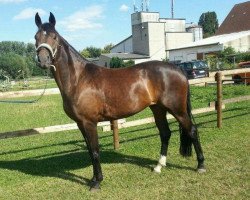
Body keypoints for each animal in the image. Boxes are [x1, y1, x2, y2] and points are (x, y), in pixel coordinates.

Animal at [33, 12, 205, 191]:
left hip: (178, 110)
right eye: (36, 37)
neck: (78, 79)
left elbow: (95, 151)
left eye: (54, 36)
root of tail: (178, 69)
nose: (43, 60)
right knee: (165, 133)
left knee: (192, 130)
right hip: (158, 108)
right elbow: (90, 151)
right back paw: (158, 166)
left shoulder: (89, 123)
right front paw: (93, 178)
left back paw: (200, 165)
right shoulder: (80, 123)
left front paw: (97, 182)